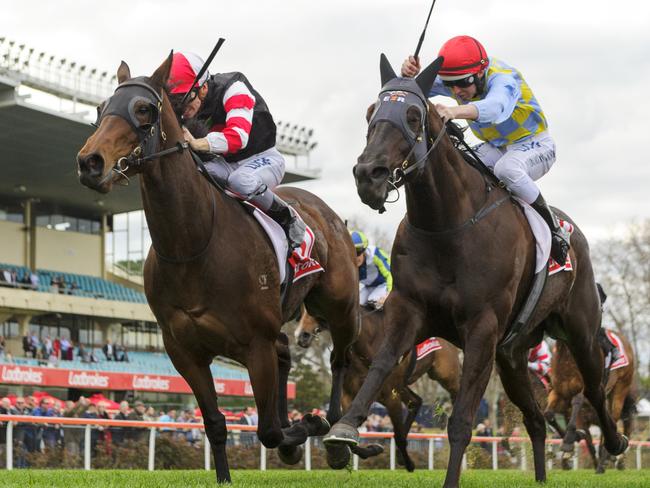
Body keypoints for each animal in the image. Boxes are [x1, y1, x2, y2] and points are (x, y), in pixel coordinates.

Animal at [78, 54, 360, 484]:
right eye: (100, 108)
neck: (193, 243)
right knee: (285, 352)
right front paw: (227, 475)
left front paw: (307, 426)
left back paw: (335, 431)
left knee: (338, 359)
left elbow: (268, 430)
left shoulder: (254, 344)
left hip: (340, 305)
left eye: (143, 109)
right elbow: (215, 422)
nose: (90, 163)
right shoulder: (184, 351)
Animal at [296, 306, 458, 470]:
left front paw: (408, 462)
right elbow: (344, 425)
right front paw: (368, 449)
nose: (302, 335)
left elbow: (398, 434)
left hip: (445, 375)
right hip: (402, 387)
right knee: (416, 401)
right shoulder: (349, 394)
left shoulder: (391, 397)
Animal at [540, 332, 632, 472]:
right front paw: (575, 437)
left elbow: (577, 401)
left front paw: (569, 441)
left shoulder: (587, 390)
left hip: (621, 388)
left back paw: (606, 458)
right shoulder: (559, 393)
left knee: (613, 420)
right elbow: (548, 414)